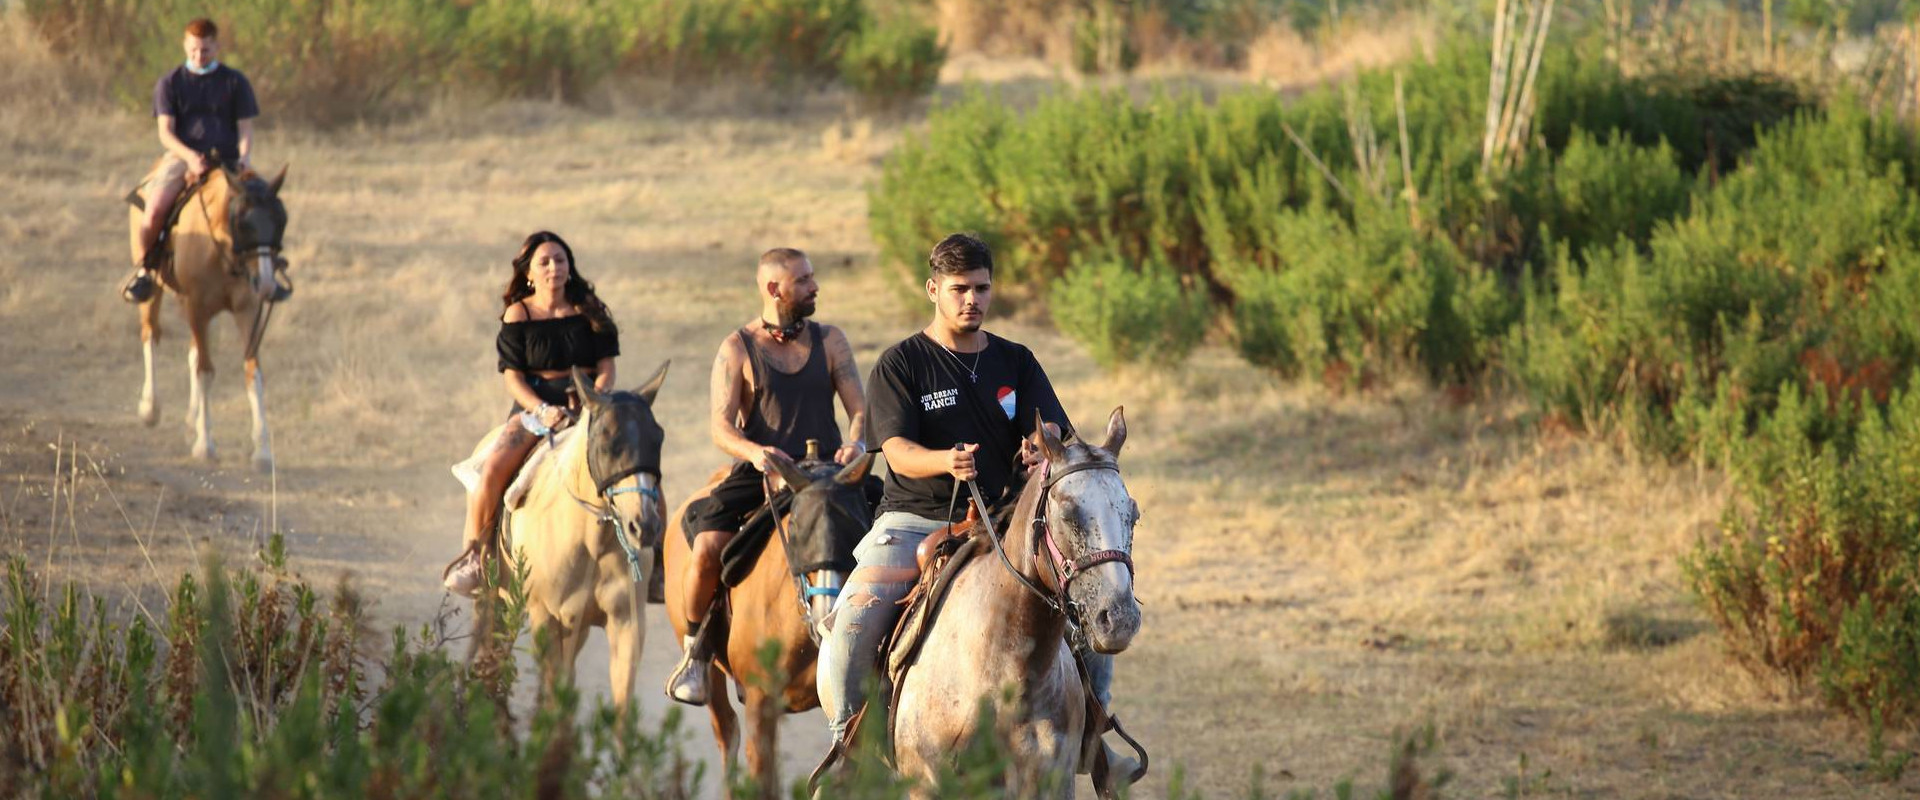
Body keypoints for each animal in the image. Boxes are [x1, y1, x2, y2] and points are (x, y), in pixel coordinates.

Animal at [129, 164, 286, 470]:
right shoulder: (198, 308)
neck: (222, 250)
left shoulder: (247, 310)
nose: (265, 283)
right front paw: (205, 445)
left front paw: (262, 451)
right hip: (156, 293)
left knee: (191, 352)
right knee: (150, 335)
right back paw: (150, 408)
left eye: (280, 219)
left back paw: (191, 422)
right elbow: (205, 371)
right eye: (243, 222)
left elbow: (253, 372)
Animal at [468, 364, 672, 705]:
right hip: (497, 599)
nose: (643, 526)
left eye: (658, 438)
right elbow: (553, 695)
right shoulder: (545, 618)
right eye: (607, 441)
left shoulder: (626, 623)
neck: (589, 542)